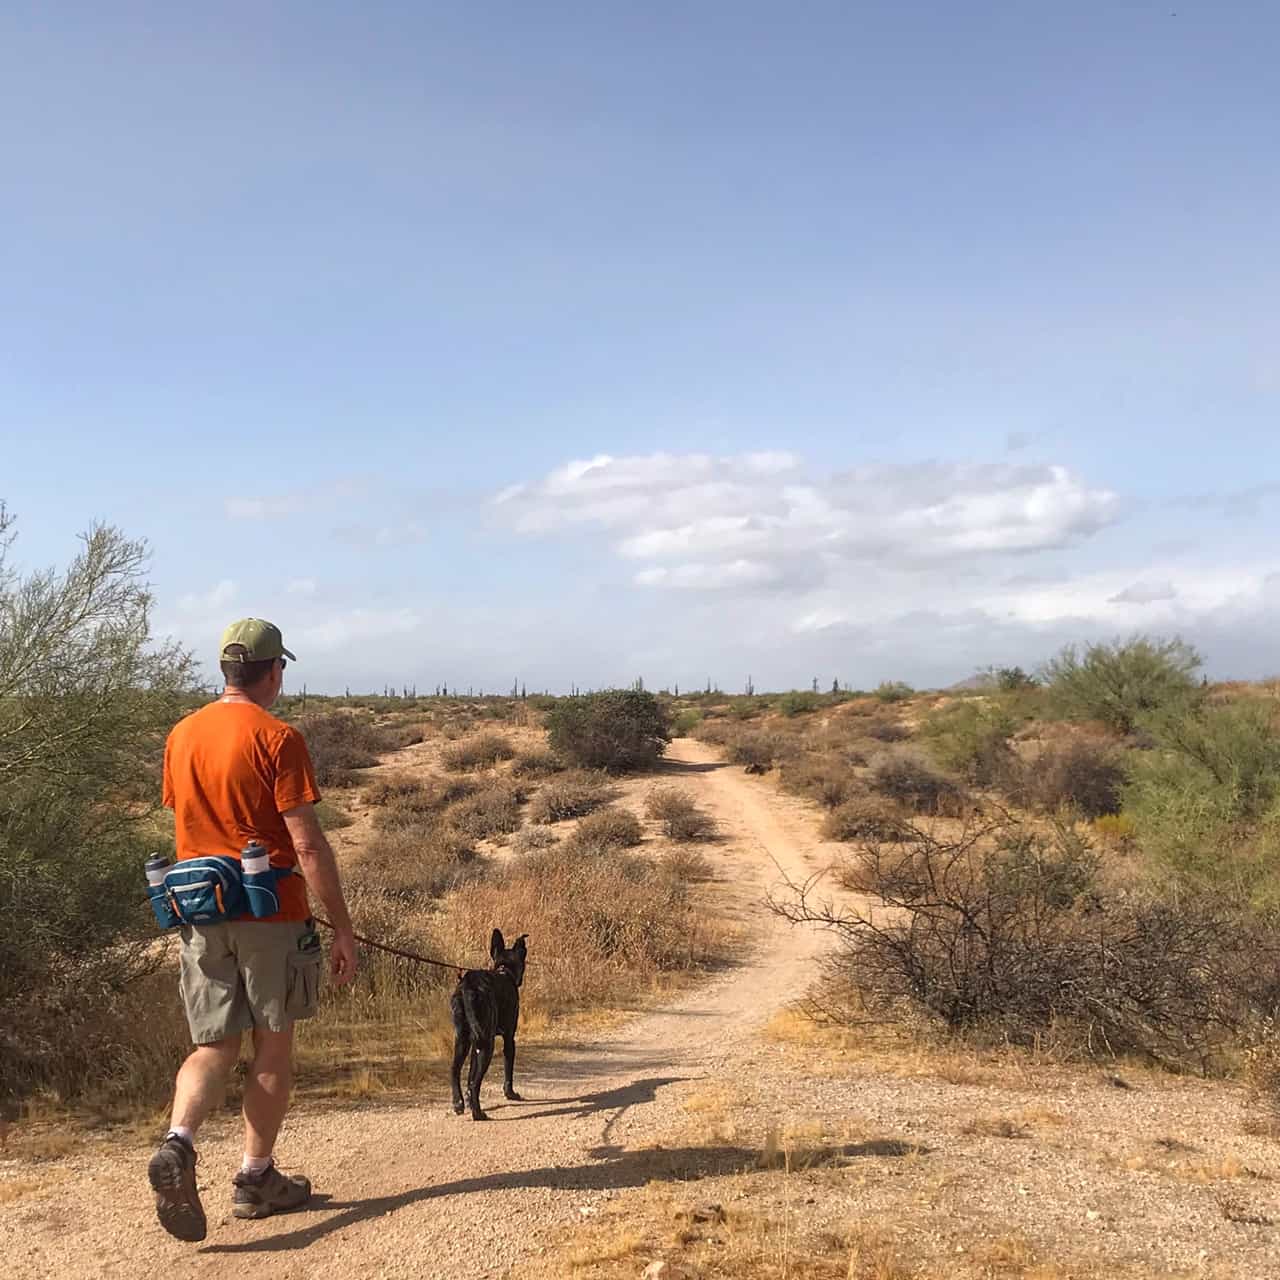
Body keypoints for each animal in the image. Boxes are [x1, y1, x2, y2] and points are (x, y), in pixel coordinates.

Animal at [453, 931, 527, 1121]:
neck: (504, 971)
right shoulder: (509, 1038)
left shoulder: (474, 1045)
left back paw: (458, 1103)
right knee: (475, 1083)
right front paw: (510, 1094)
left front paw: (469, 1100)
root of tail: (468, 986)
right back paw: (478, 1113)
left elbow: (470, 1075)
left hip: (463, 1041)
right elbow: (508, 1069)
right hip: (487, 1044)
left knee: (454, 1071)